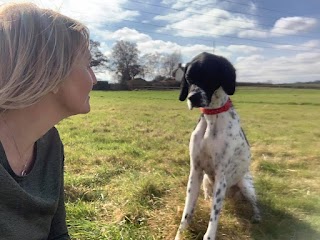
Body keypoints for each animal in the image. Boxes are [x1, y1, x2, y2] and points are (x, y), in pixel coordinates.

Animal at [175, 51, 260, 239]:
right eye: (188, 78)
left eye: (209, 75)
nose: (193, 98)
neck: (211, 118)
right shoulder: (195, 172)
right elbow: (187, 211)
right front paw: (180, 233)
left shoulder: (221, 177)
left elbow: (214, 216)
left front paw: (209, 235)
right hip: (207, 181)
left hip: (245, 186)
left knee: (256, 204)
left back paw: (257, 216)